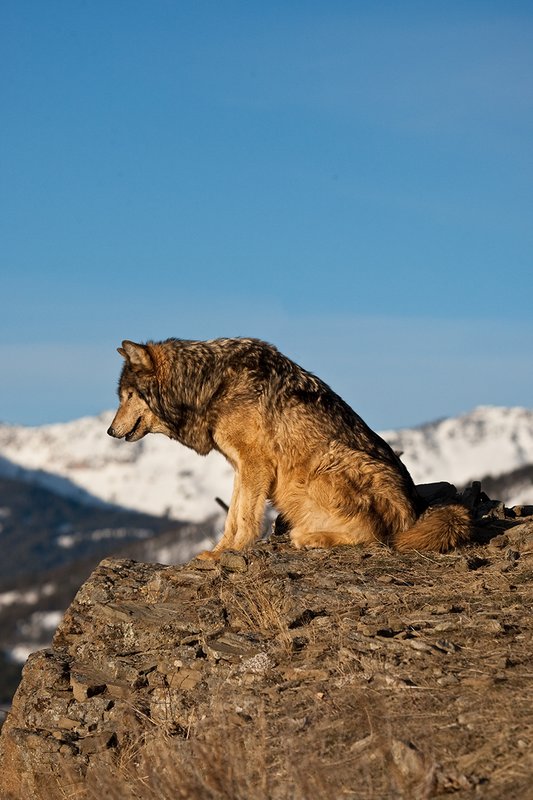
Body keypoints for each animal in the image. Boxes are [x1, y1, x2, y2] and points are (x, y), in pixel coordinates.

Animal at [108, 337, 471, 558]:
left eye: (128, 396)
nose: (110, 431)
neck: (210, 385)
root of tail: (416, 514)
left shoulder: (255, 464)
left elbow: (245, 519)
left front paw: (233, 552)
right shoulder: (241, 467)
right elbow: (233, 517)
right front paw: (219, 551)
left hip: (326, 465)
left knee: (376, 536)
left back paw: (309, 538)